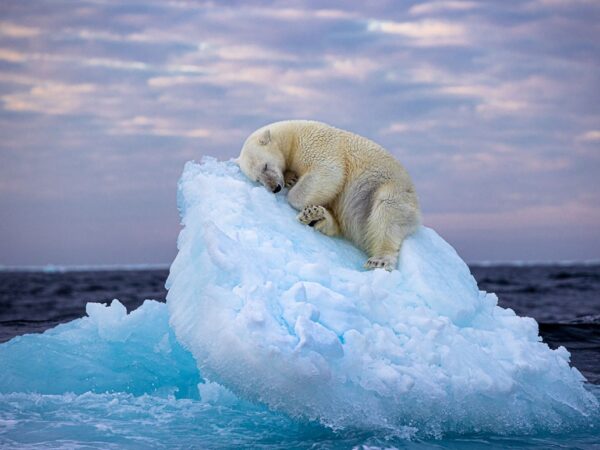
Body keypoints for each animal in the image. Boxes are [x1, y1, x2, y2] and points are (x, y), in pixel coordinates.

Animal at [237, 119, 420, 270]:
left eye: (265, 166)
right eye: (257, 179)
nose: (275, 187)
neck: (291, 136)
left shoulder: (315, 144)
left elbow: (328, 172)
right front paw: (291, 178)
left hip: (390, 188)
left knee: (387, 213)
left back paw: (380, 259)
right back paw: (315, 216)